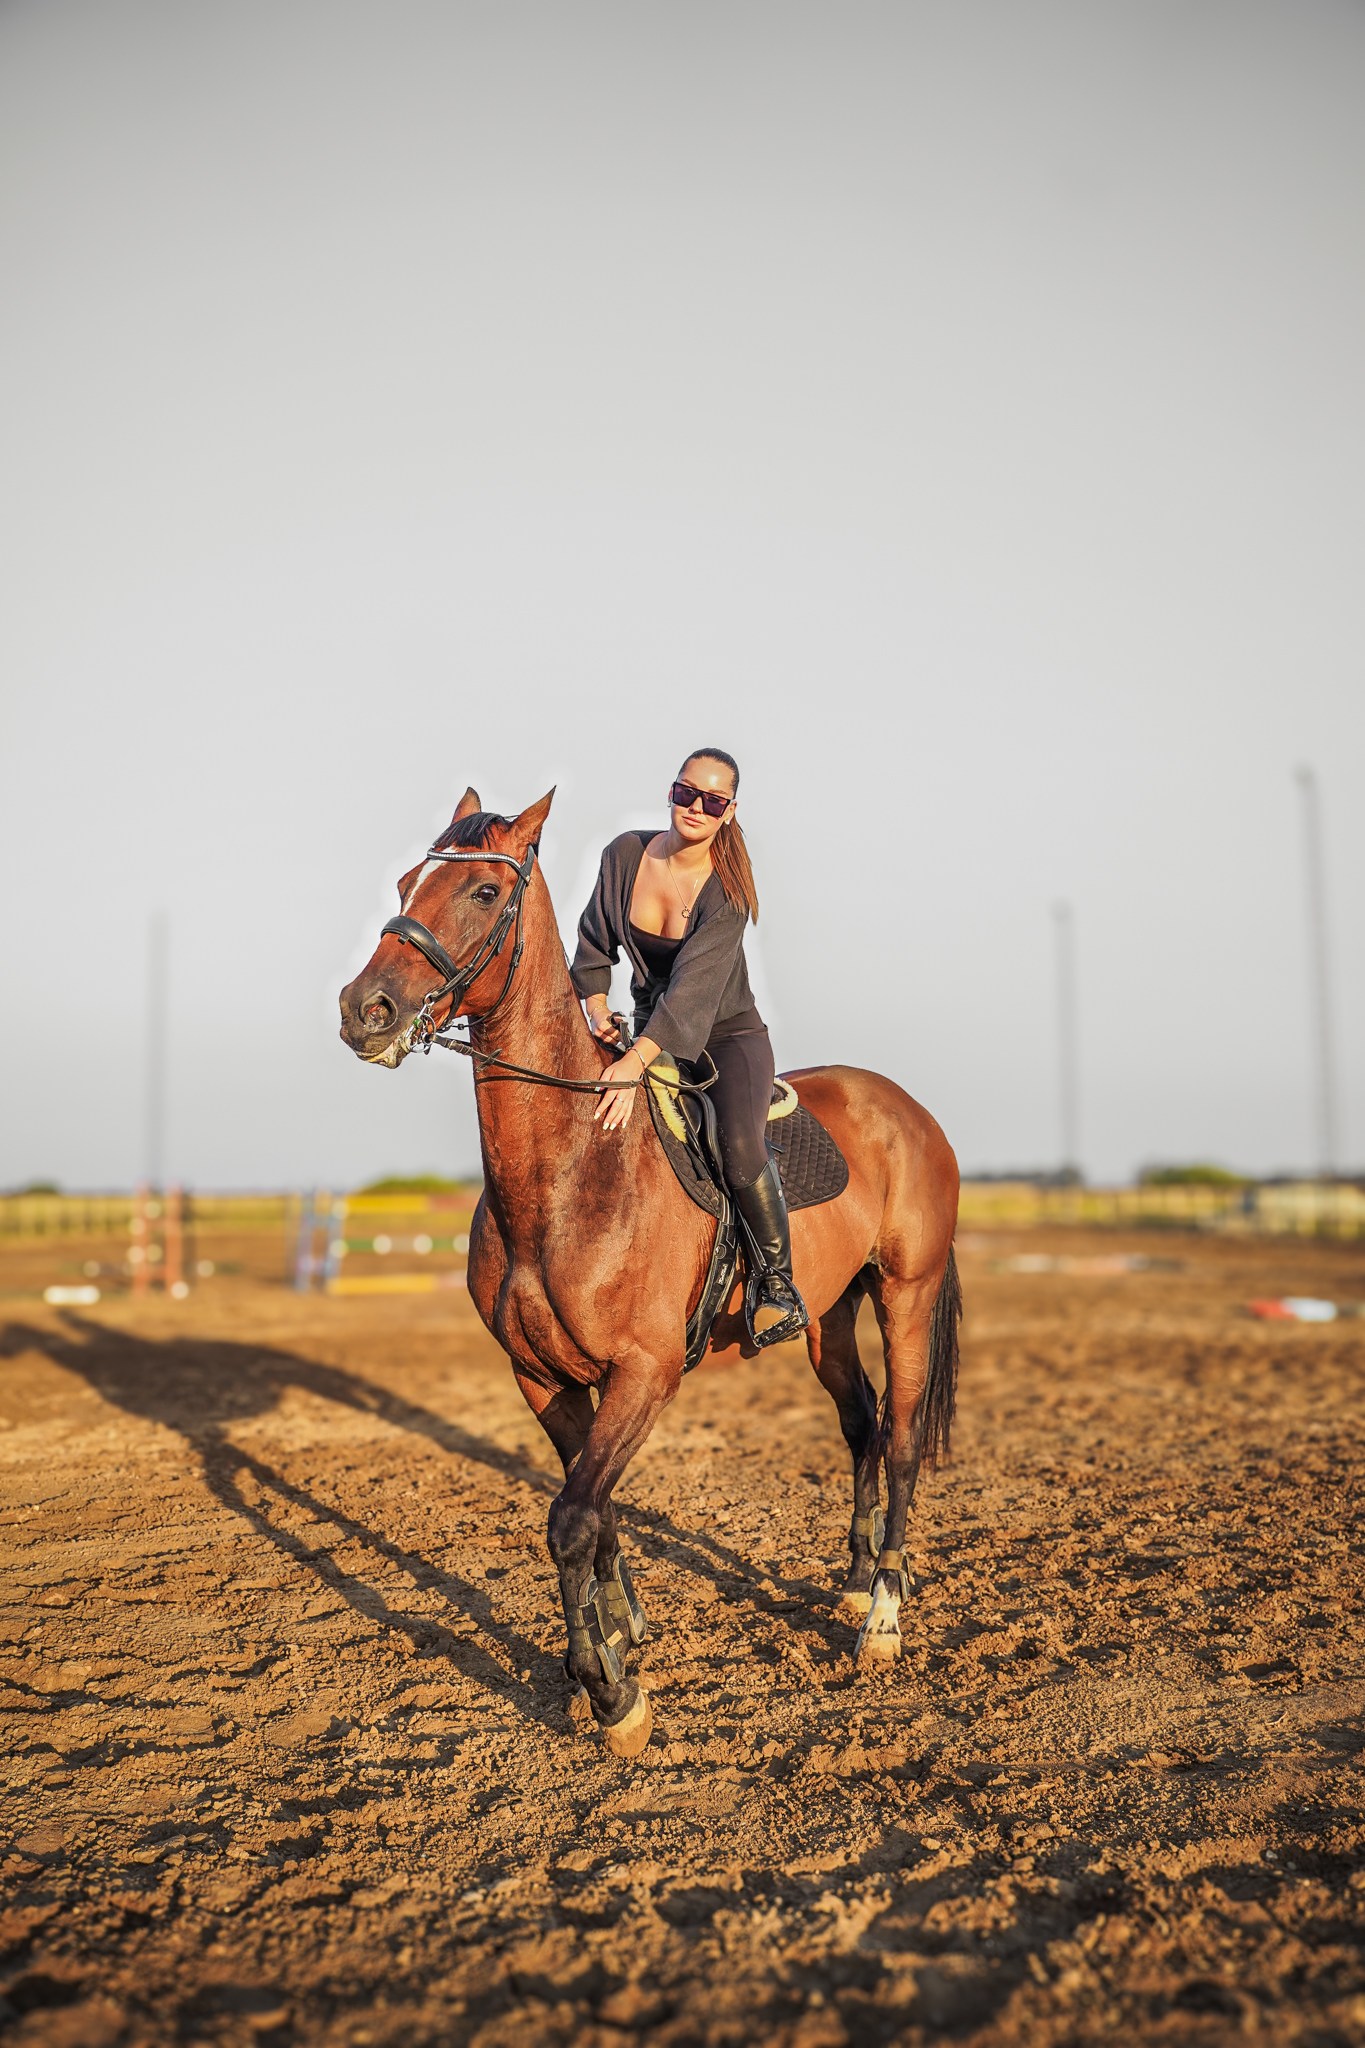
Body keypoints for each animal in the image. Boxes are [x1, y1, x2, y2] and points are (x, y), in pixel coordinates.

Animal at [339, 788, 961, 1757]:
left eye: (484, 891)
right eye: (408, 881)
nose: (363, 1008)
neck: (567, 1172)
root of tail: (906, 1108)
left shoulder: (645, 1373)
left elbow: (569, 1518)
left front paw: (610, 1690)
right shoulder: (543, 1377)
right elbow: (587, 1511)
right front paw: (618, 1635)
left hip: (904, 1295)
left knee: (896, 1439)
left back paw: (882, 1621)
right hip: (828, 1316)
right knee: (860, 1426)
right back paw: (857, 1579)